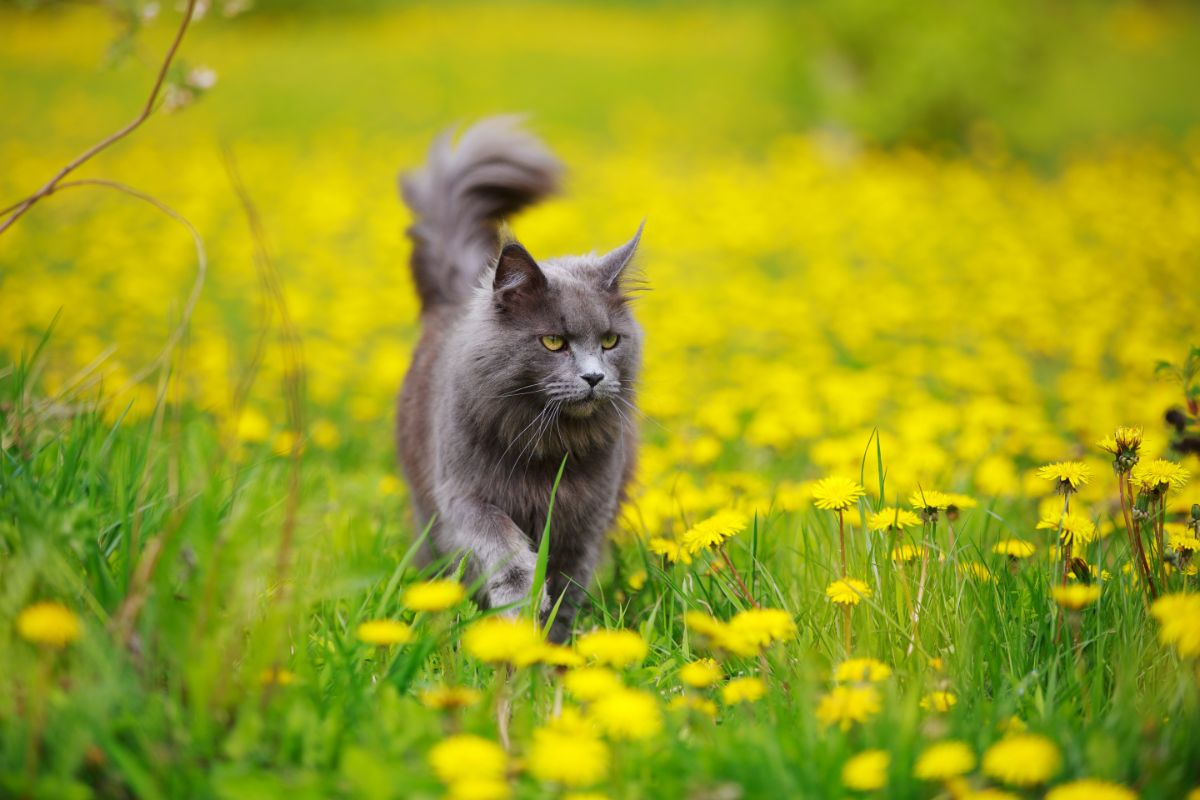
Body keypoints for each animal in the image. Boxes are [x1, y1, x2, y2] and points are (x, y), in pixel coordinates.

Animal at [393, 117, 643, 642]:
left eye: (610, 341)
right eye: (553, 342)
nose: (594, 376)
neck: (547, 450)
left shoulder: (585, 520)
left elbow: (568, 586)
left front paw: (550, 645)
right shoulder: (464, 496)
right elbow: (501, 543)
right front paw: (518, 600)